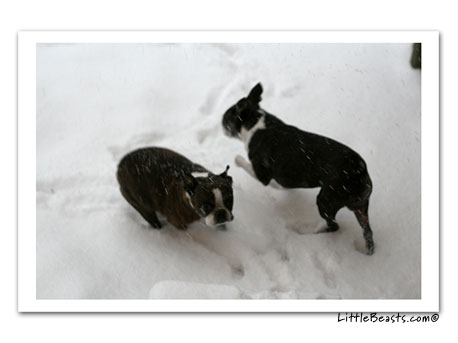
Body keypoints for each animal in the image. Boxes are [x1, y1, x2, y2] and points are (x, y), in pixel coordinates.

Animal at [223, 83, 376, 255]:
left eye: (226, 118)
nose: (221, 124)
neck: (255, 123)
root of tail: (361, 172)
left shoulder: (262, 173)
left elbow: (247, 165)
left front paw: (237, 159)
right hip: (360, 207)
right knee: (367, 232)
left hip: (326, 199)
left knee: (333, 225)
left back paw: (306, 231)